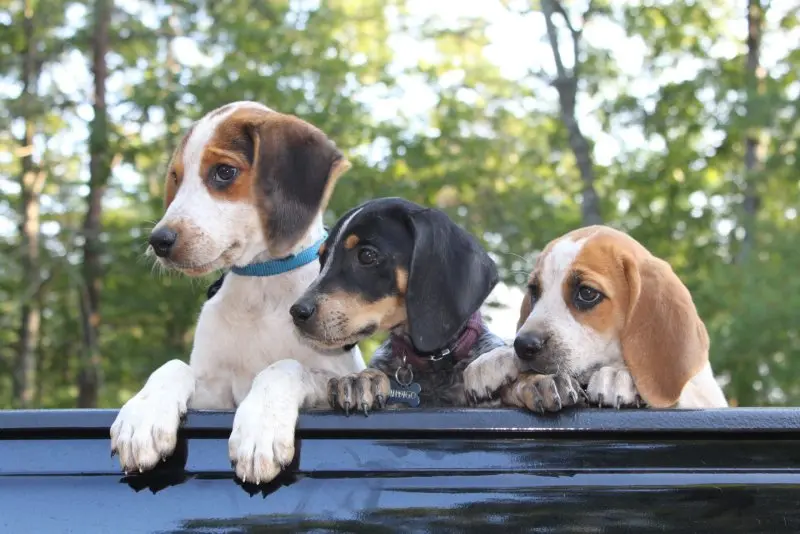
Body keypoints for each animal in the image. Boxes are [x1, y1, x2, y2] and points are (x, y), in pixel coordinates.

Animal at [108, 102, 362, 488]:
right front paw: (143, 416)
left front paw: (260, 428)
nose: (159, 241)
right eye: (176, 178)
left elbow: (284, 366)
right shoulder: (214, 395)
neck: (260, 285)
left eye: (224, 172)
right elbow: (174, 365)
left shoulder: (331, 379)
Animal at [462, 225, 732, 410]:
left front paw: (618, 376)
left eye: (587, 293)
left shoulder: (708, 398)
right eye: (534, 291)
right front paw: (498, 358)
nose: (524, 345)